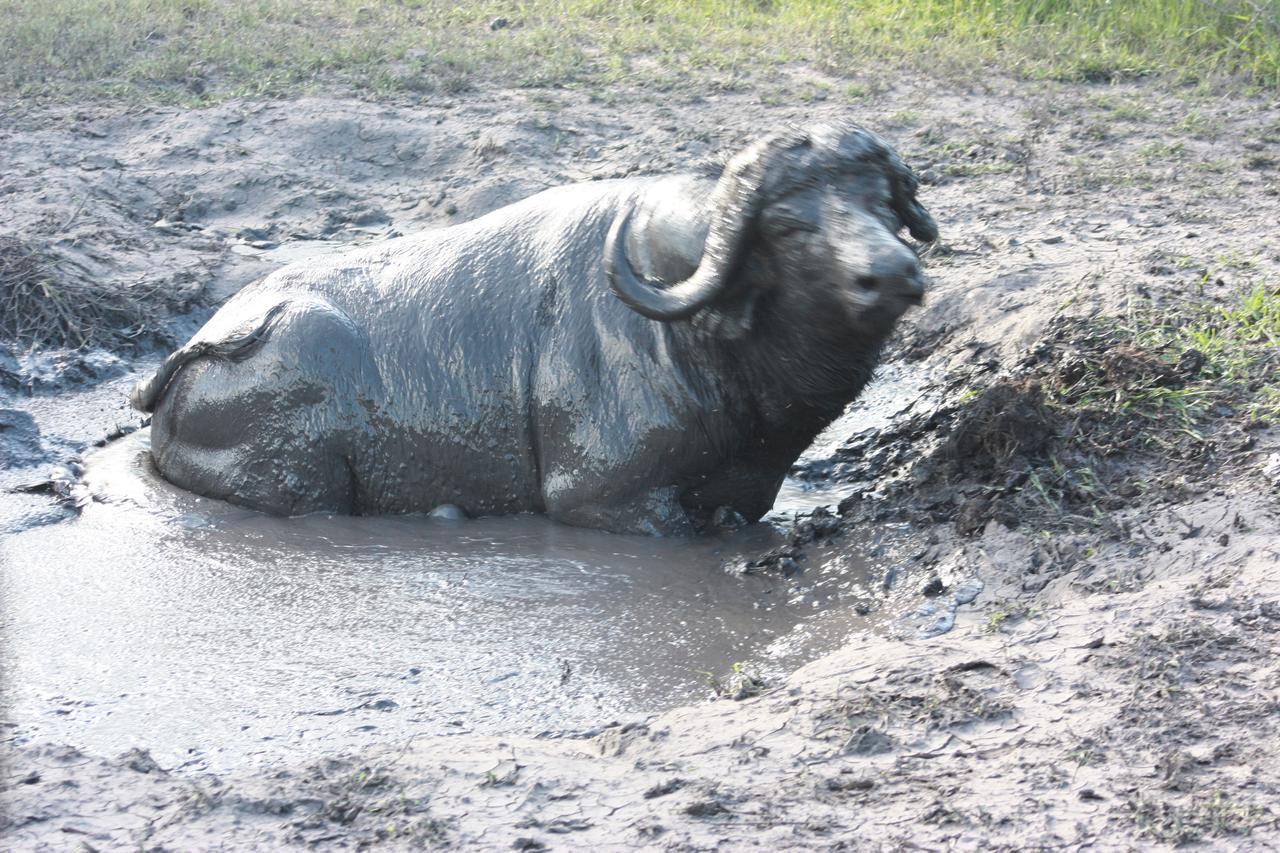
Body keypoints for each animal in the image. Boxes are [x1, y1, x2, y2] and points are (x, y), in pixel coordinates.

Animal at [132, 121, 942, 532]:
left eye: (882, 200)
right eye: (789, 225)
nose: (893, 274)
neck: (698, 332)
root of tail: (195, 355)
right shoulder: (612, 501)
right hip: (303, 480)